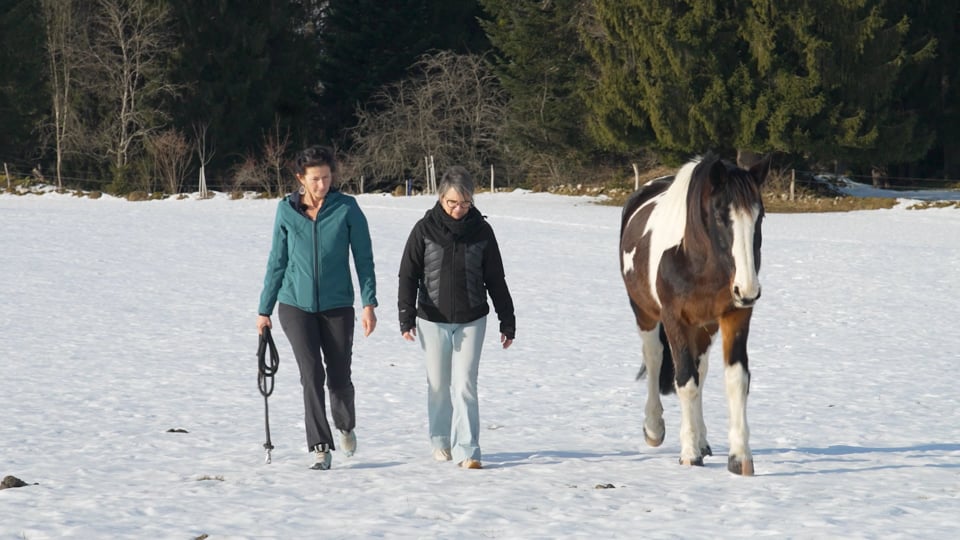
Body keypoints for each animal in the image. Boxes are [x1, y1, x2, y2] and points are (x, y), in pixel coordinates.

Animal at [619, 153, 768, 475]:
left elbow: (736, 380)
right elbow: (685, 381)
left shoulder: (734, 317)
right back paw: (654, 428)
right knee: (654, 358)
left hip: (704, 326)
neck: (699, 261)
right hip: (645, 313)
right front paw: (688, 454)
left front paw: (740, 457)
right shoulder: (675, 319)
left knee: (700, 368)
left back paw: (702, 441)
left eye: (759, 216)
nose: (748, 290)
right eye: (720, 215)